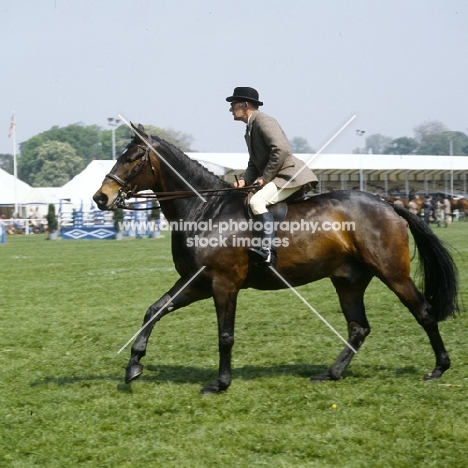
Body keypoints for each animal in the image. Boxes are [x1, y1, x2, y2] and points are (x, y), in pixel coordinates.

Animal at [93, 122, 458, 394]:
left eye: (132, 157)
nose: (101, 198)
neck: (204, 210)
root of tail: (389, 204)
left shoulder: (223, 283)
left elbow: (225, 335)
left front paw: (220, 383)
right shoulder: (195, 282)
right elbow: (155, 310)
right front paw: (134, 366)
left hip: (392, 273)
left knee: (423, 312)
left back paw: (439, 369)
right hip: (348, 280)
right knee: (358, 328)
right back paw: (331, 373)